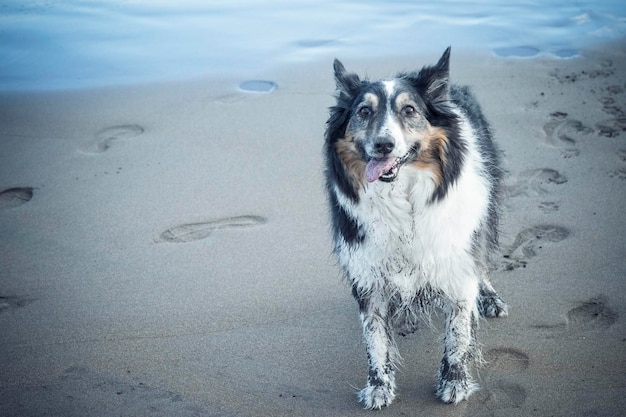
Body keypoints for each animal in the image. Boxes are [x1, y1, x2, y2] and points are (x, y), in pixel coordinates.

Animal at [322, 47, 508, 408]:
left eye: (409, 110)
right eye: (364, 111)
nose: (383, 145)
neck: (402, 198)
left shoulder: (456, 261)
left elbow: (458, 332)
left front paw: (454, 382)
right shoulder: (367, 271)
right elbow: (375, 338)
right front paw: (378, 386)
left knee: (482, 258)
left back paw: (489, 297)